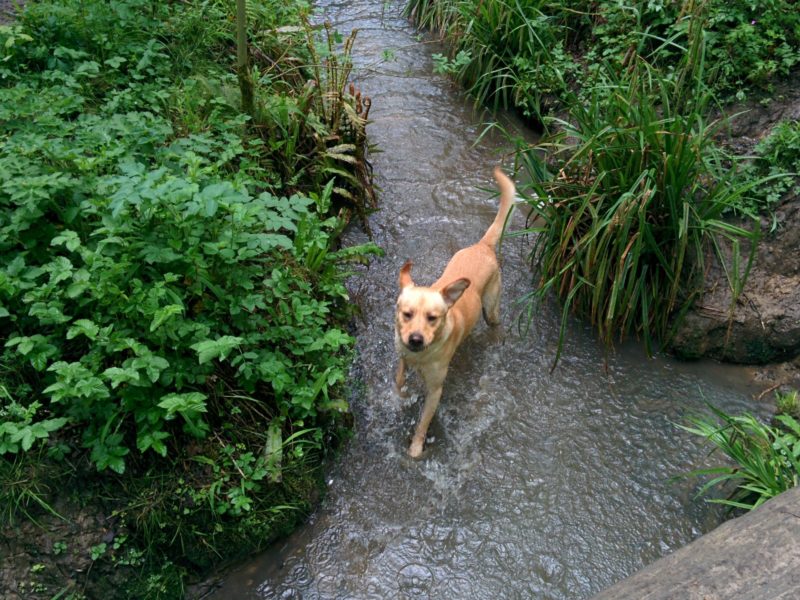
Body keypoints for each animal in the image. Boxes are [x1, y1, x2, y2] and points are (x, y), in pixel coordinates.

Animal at [396, 166, 520, 458]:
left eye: (433, 318)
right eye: (407, 314)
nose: (415, 339)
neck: (421, 355)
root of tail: (483, 245)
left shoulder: (435, 390)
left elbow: (423, 423)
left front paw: (416, 448)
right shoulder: (402, 355)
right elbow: (398, 378)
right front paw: (400, 393)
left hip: (491, 308)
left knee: (496, 323)